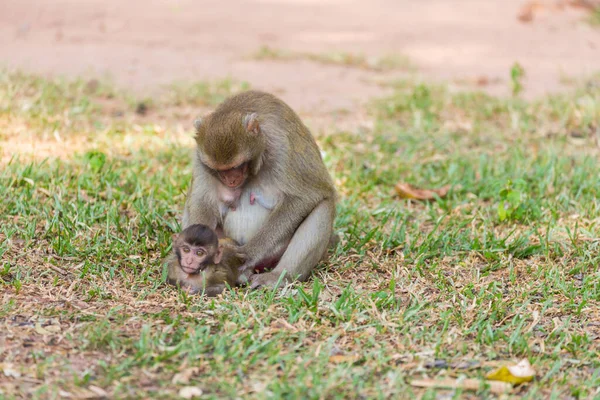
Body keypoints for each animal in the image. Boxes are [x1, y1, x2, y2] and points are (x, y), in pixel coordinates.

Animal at [180, 90, 336, 290]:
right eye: (219, 170)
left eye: (237, 166)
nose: (231, 180)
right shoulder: (201, 159)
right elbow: (201, 200)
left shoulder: (281, 148)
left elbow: (306, 197)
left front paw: (249, 252)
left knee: (323, 207)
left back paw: (279, 276)